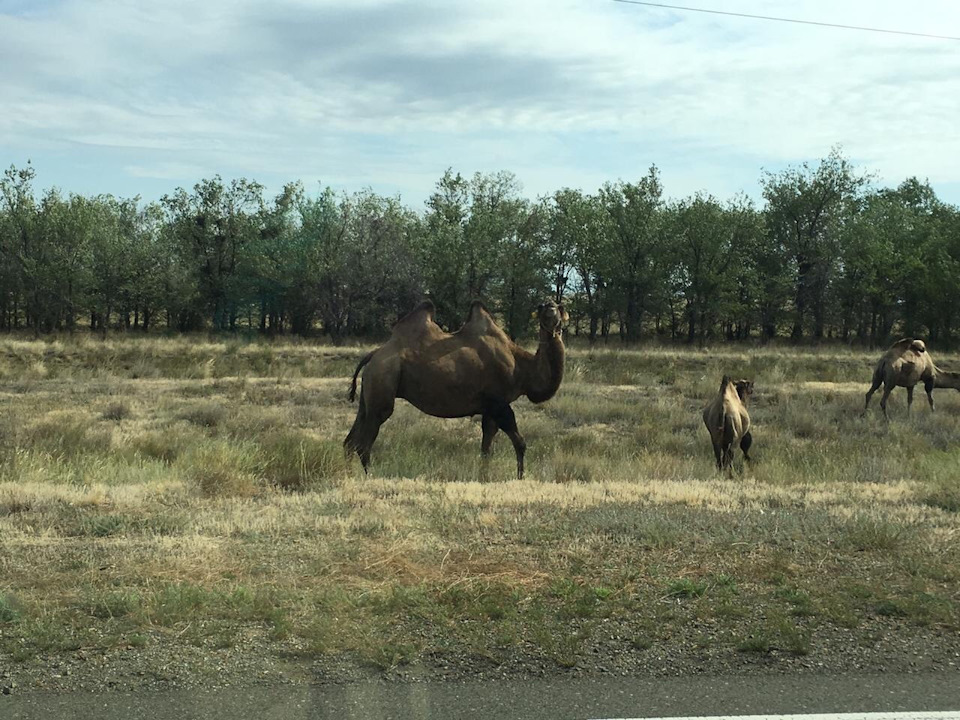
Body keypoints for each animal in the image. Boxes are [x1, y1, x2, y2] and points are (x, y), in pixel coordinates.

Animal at [344, 298, 568, 478]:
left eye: (558, 306)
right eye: (542, 307)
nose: (550, 308)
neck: (522, 367)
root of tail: (373, 355)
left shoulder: (488, 407)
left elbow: (486, 447)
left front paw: (483, 476)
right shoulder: (499, 403)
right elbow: (520, 443)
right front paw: (520, 477)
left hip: (369, 394)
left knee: (350, 440)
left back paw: (348, 474)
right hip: (383, 384)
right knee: (364, 443)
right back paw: (370, 475)